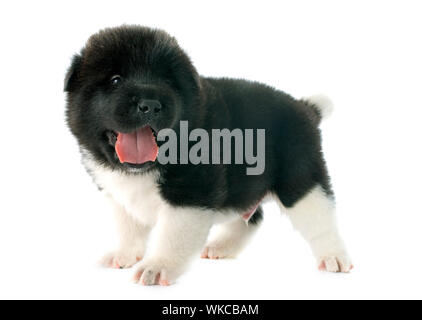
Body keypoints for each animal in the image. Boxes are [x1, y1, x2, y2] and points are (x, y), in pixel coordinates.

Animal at [64, 25, 352, 284]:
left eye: (168, 82)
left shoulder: (190, 195)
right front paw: (124, 254)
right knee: (252, 218)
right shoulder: (120, 197)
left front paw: (158, 267)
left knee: (320, 217)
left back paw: (334, 257)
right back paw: (222, 247)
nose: (150, 105)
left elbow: (173, 235)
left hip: (300, 178)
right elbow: (128, 228)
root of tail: (306, 108)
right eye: (116, 80)